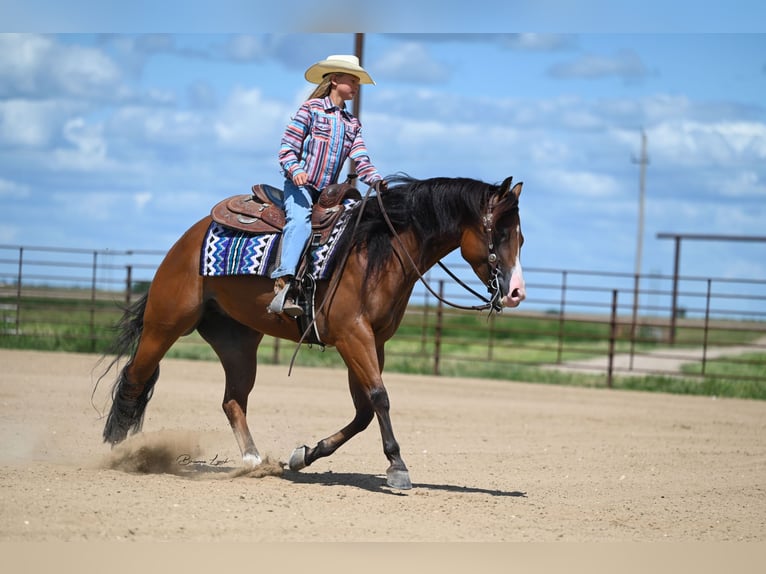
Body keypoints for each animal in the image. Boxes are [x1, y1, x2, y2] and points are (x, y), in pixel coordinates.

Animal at [102, 174, 528, 490]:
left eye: (520, 237)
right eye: (500, 234)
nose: (516, 293)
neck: (379, 248)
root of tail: (187, 240)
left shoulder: (373, 340)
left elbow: (365, 411)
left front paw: (303, 455)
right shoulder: (353, 336)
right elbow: (379, 398)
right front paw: (397, 467)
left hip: (237, 341)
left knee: (232, 400)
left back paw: (254, 461)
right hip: (166, 324)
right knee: (135, 379)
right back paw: (117, 451)